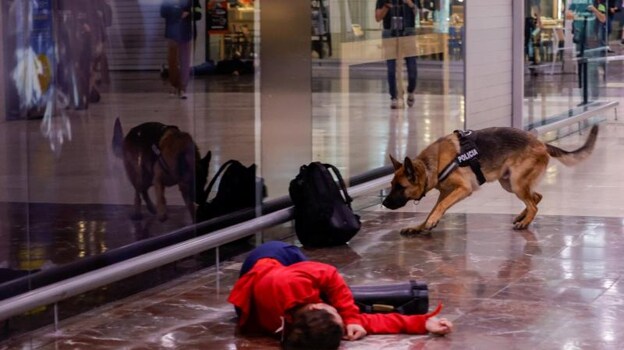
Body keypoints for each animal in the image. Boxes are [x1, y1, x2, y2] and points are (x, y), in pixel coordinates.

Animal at [382, 124, 596, 234]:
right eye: (391, 185)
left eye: (400, 187)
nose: (384, 203)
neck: (432, 164)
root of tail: (541, 143)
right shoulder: (445, 192)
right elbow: (433, 209)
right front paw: (420, 226)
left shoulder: (463, 189)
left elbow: (440, 207)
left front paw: (432, 221)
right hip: (509, 183)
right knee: (536, 197)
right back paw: (522, 216)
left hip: (516, 183)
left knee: (534, 204)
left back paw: (525, 222)